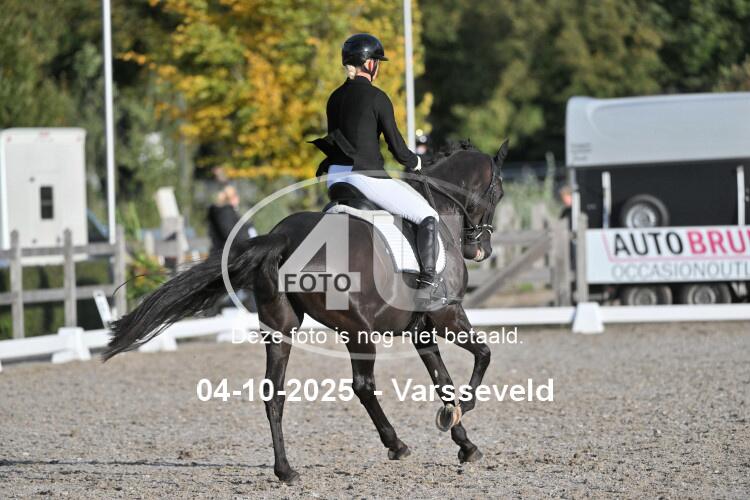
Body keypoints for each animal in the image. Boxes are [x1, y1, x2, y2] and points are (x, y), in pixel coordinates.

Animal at [103, 139, 508, 484]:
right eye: (499, 192)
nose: (481, 250)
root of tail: (285, 238)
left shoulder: (420, 327)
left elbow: (442, 379)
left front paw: (464, 441)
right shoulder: (446, 315)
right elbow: (483, 355)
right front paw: (465, 408)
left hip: (281, 328)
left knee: (274, 393)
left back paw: (285, 470)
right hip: (357, 331)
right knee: (363, 385)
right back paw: (396, 445)